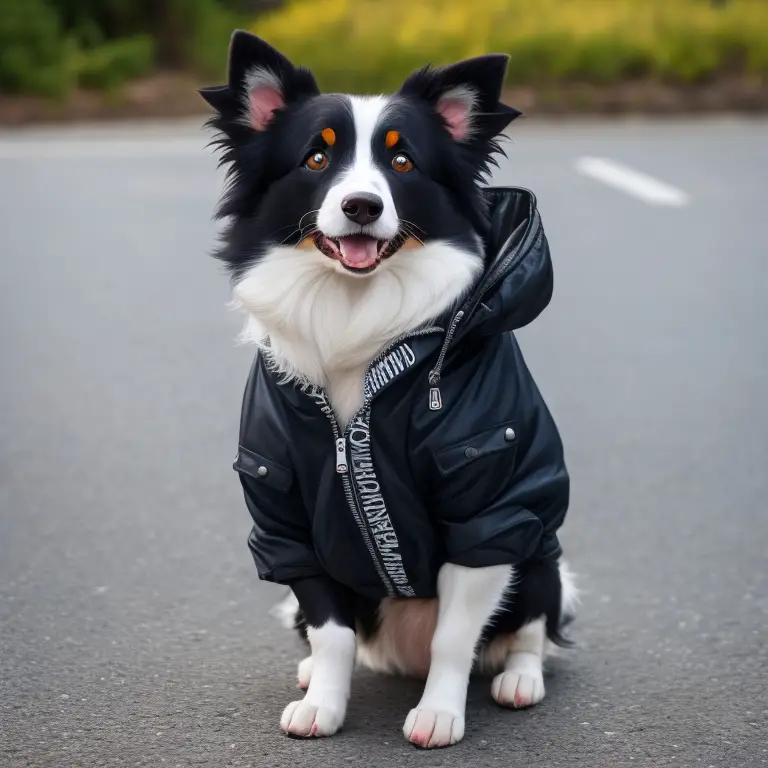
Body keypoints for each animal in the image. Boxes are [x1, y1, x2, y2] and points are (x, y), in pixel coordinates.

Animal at [204, 31, 576, 752]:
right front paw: (323, 703)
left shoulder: (489, 511)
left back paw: (519, 678)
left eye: (402, 161)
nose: (362, 206)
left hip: (539, 545)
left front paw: (439, 714)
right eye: (317, 156)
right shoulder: (285, 517)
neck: (356, 312)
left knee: (533, 625)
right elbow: (332, 633)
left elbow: (456, 637)